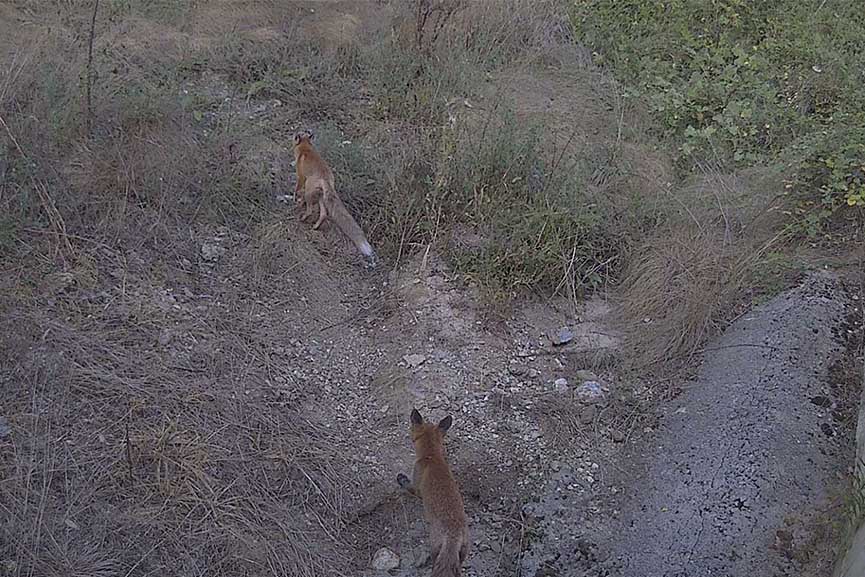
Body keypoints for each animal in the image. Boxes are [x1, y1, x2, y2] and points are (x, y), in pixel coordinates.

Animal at [292, 130, 377, 265]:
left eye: (297, 134)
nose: (294, 133)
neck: (306, 148)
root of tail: (326, 177)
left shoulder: (301, 177)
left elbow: (297, 189)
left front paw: (296, 200)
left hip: (310, 191)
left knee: (310, 210)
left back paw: (303, 218)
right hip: (322, 197)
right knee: (324, 214)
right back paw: (315, 226)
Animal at [397, 408, 469, 577]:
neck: (432, 457)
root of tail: (453, 535)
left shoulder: (417, 487)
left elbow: (410, 487)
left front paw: (402, 480)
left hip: (435, 545)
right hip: (463, 552)